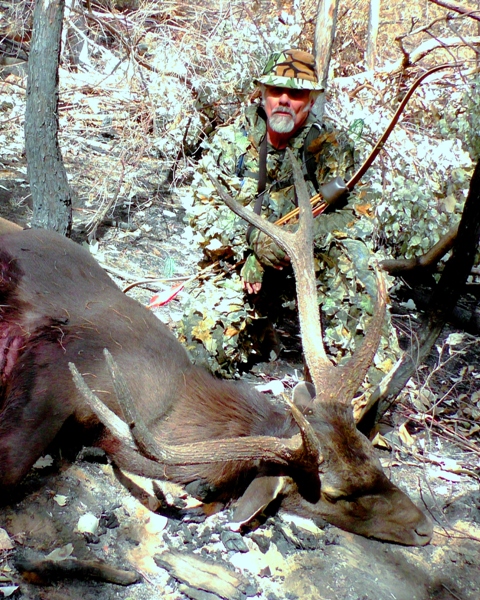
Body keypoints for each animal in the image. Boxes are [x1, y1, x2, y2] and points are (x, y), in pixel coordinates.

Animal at [0, 154, 434, 544]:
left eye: (376, 461)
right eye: (335, 493)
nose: (425, 528)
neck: (165, 410)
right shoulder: (49, 380)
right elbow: (11, 466)